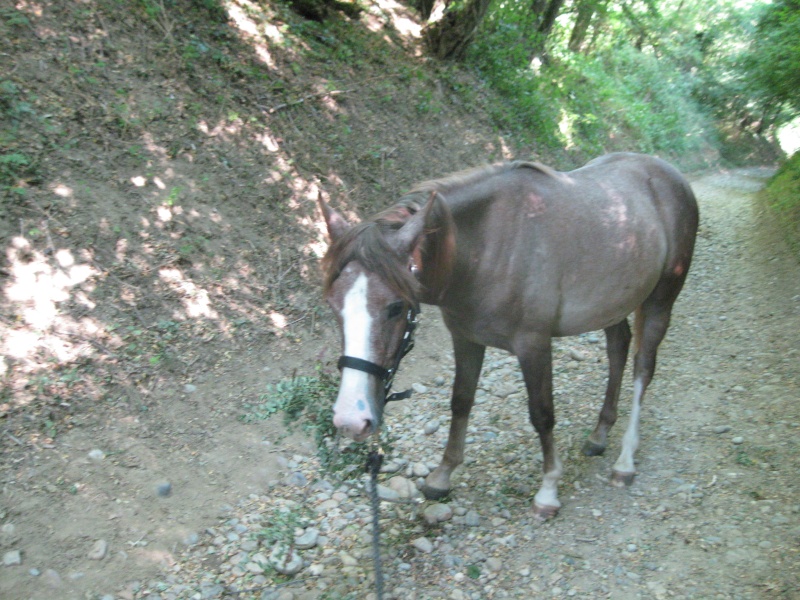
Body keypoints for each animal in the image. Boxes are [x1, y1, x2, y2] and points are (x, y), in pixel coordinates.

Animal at [316, 152, 696, 516]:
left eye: (396, 307)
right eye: (333, 305)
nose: (350, 421)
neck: (485, 248)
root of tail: (670, 174)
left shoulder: (534, 345)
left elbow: (542, 414)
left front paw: (548, 490)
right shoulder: (465, 338)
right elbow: (460, 401)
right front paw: (442, 475)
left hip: (661, 300)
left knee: (642, 369)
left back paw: (625, 460)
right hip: (612, 304)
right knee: (618, 348)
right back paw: (600, 435)